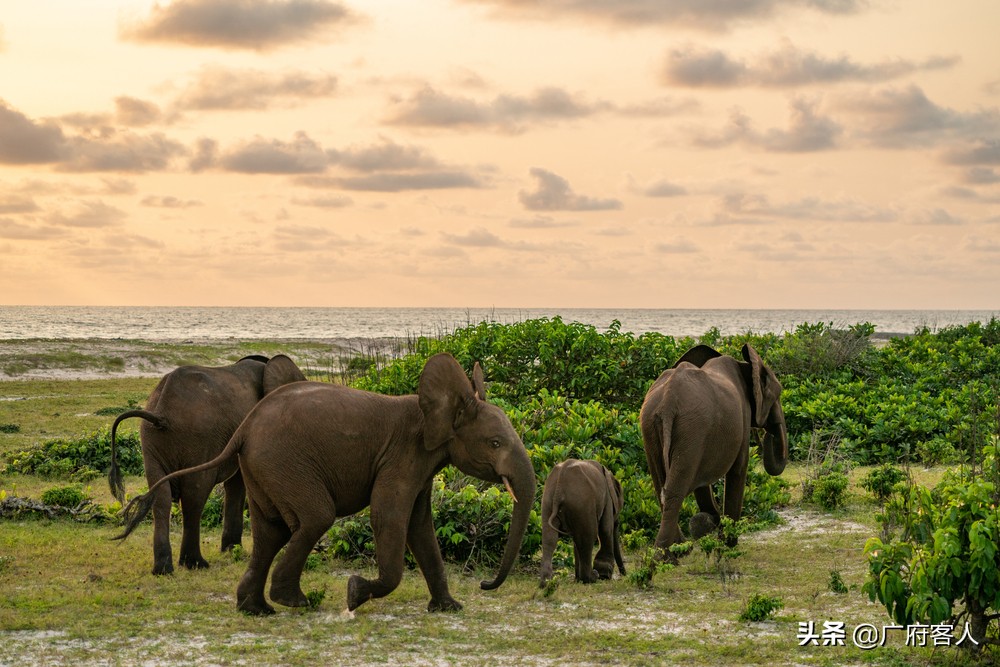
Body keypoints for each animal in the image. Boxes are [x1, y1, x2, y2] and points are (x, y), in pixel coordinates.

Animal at [107, 354, 306, 576]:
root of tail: (160, 414)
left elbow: (235, 484)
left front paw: (231, 550)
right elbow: (238, 483)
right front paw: (233, 550)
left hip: (151, 441)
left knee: (161, 497)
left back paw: (163, 570)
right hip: (198, 440)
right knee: (195, 496)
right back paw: (195, 564)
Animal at [640, 344, 788, 560]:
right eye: (777, 396)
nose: (768, 435)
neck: (745, 365)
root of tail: (667, 402)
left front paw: (709, 523)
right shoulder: (741, 420)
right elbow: (738, 470)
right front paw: (728, 542)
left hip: (651, 427)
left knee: (661, 486)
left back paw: (678, 551)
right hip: (691, 429)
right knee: (674, 492)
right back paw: (666, 558)